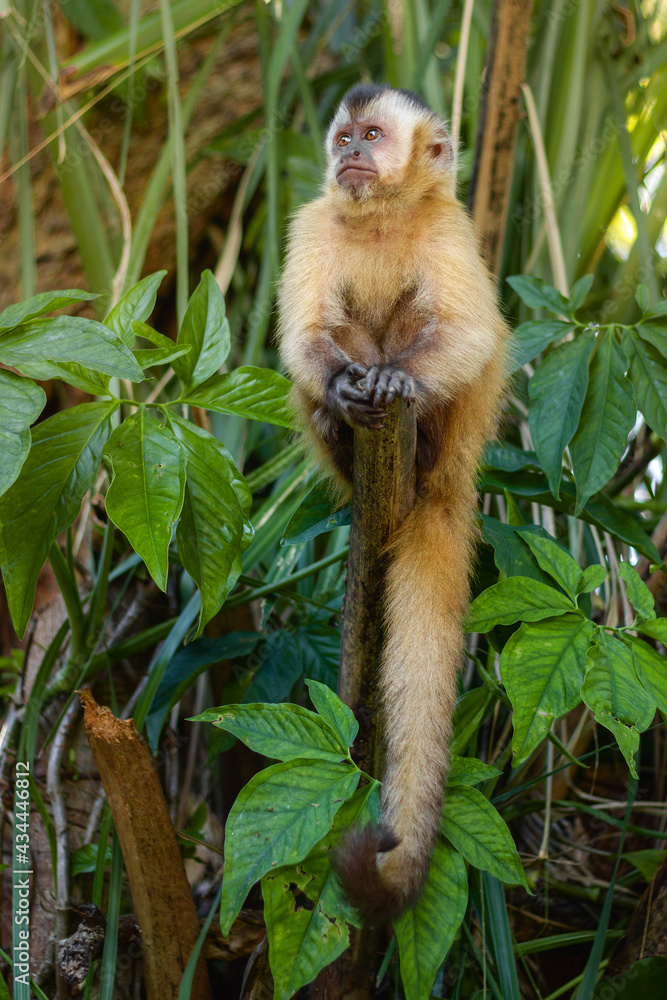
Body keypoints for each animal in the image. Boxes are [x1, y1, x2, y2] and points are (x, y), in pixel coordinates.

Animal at [276, 86, 506, 920]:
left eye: (371, 136)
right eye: (344, 138)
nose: (351, 154)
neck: (378, 216)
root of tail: (441, 484)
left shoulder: (450, 223)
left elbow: (469, 334)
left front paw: (394, 380)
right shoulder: (311, 219)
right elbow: (304, 339)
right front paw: (343, 388)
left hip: (445, 447)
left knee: (426, 321)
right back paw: (342, 420)